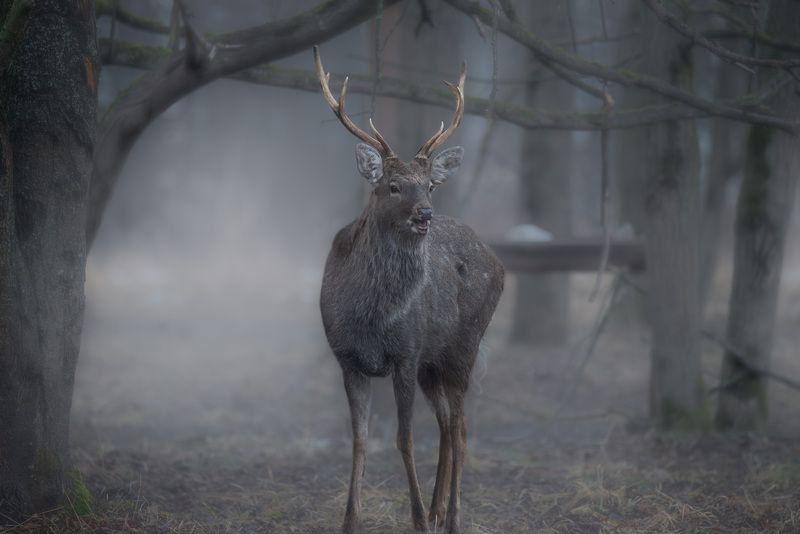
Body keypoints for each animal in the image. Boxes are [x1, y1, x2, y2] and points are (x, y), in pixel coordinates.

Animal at [314, 46, 504, 534]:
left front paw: (416, 518)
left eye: (431, 185)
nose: (425, 215)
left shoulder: (405, 352)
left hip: (463, 345)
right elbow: (360, 439)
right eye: (393, 185)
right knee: (445, 423)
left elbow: (403, 438)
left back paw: (450, 516)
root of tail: (497, 260)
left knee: (460, 427)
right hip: (432, 362)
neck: (370, 317)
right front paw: (350, 521)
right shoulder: (347, 358)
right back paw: (438, 511)